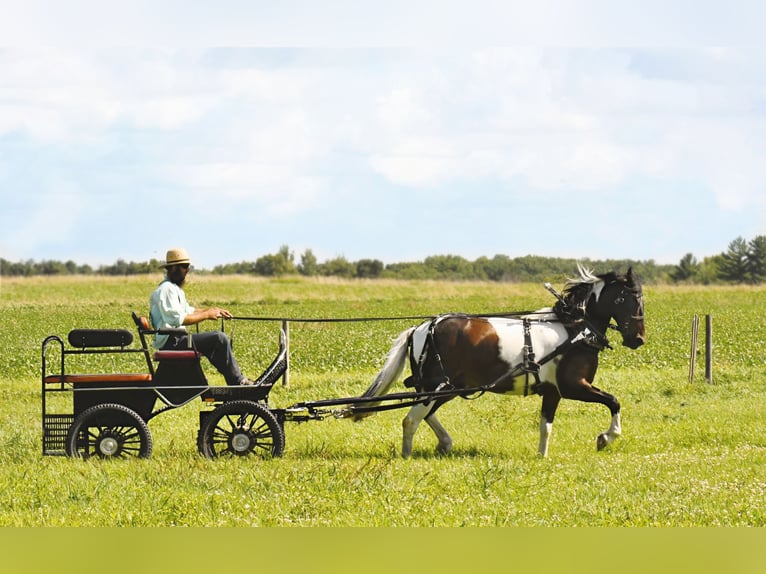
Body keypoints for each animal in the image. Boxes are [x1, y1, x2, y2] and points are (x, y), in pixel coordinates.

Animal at [356, 266, 644, 460]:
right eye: (629, 298)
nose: (638, 339)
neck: (574, 328)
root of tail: (422, 328)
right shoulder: (573, 386)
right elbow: (614, 401)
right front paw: (606, 437)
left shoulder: (552, 391)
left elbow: (546, 426)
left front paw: (542, 456)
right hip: (435, 387)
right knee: (411, 419)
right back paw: (407, 454)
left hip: (449, 387)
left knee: (426, 414)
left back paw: (444, 443)